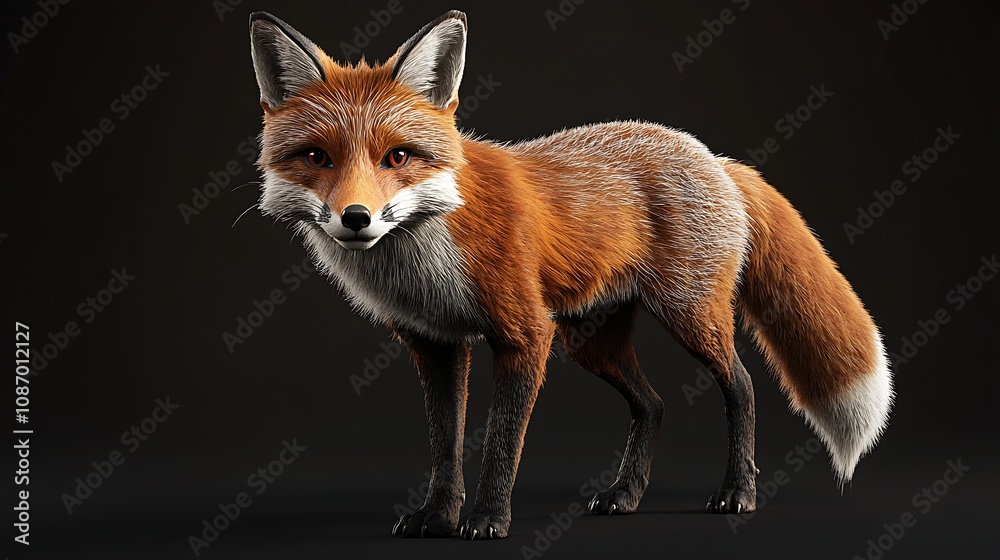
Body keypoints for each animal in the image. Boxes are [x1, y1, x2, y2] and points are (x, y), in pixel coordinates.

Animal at [248, 10, 893, 540]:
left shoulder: (526, 333)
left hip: (687, 315)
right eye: (317, 158)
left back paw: (738, 491)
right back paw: (625, 495)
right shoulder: (434, 342)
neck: (428, 249)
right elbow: (445, 444)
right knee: (654, 405)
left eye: (398, 157)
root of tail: (714, 157)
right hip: (591, 342)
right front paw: (438, 516)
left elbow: (501, 441)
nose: (356, 218)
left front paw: (488, 520)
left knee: (742, 385)